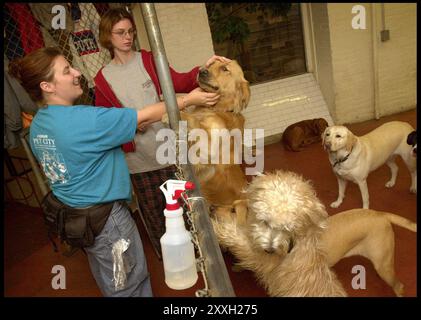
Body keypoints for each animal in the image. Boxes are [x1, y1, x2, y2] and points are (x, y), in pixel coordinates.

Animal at [162, 60, 249, 208]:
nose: (201, 71)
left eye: (224, 68)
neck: (216, 109)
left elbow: (195, 122)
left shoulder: (209, 148)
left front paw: (177, 115)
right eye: (210, 64)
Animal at [212, 170, 416, 298]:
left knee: (399, 286)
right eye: (231, 205)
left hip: (383, 265)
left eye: (233, 210)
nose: (212, 207)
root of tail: (380, 214)